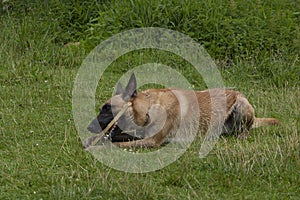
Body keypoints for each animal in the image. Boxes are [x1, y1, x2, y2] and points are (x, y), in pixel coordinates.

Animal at [83, 73, 280, 148]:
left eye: (107, 109)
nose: (88, 127)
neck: (148, 108)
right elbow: (113, 137)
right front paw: (91, 139)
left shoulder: (152, 141)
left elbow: (115, 144)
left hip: (241, 107)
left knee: (245, 130)